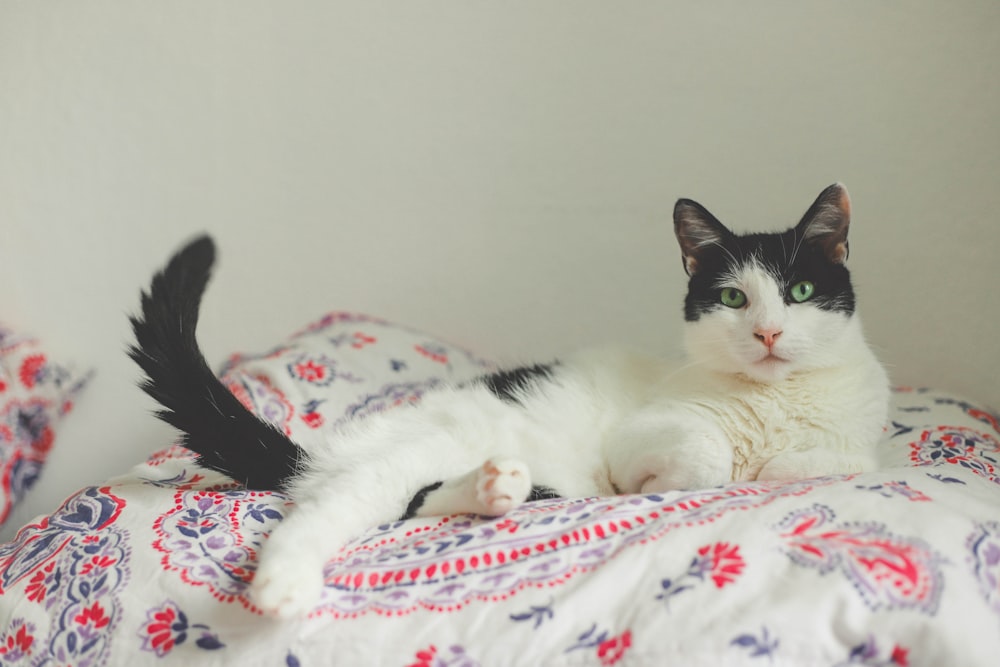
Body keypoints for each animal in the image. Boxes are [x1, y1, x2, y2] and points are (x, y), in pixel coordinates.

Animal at [129, 184, 888, 620]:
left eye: (799, 293)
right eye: (733, 297)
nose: (767, 333)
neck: (775, 399)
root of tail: (332, 445)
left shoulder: (861, 442)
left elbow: (839, 463)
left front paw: (777, 465)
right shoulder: (646, 432)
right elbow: (707, 457)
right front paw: (697, 474)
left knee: (425, 502)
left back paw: (495, 488)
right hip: (396, 462)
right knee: (330, 513)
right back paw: (282, 585)